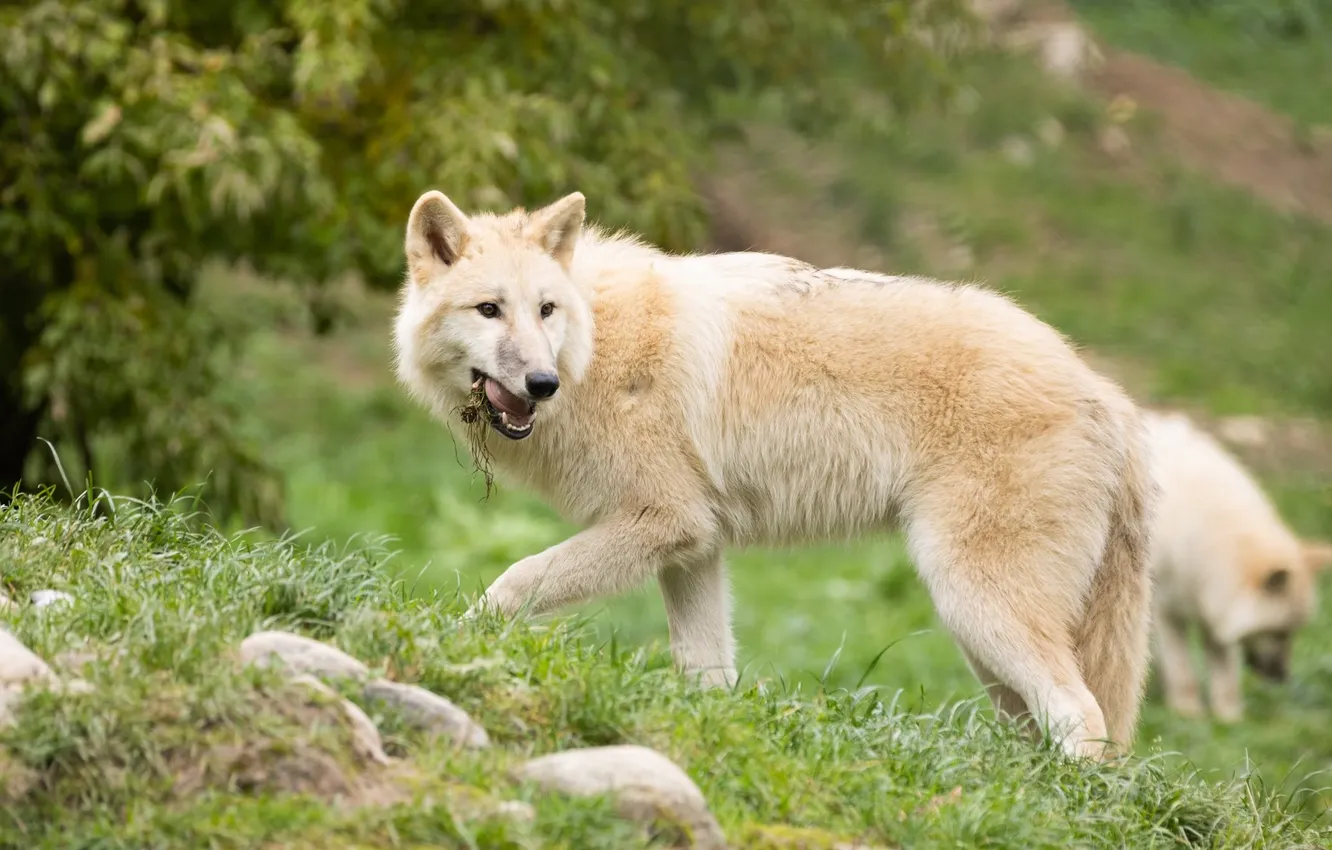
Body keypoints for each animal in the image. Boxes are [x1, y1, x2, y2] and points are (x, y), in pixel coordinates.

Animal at [393, 189, 1156, 760]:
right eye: (489, 309)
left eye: (545, 310)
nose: (542, 383)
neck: (596, 346)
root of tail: (1107, 394)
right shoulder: (694, 544)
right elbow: (707, 670)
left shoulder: (660, 521)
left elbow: (512, 580)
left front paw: (453, 643)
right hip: (980, 639)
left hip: (972, 599)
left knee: (1083, 716)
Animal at [1144, 410, 1332, 722]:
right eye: (1279, 632)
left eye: (1292, 632)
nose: (1282, 678)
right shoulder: (1166, 613)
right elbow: (1183, 671)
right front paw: (1188, 712)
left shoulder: (1213, 613)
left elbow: (1225, 676)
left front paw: (1227, 717)